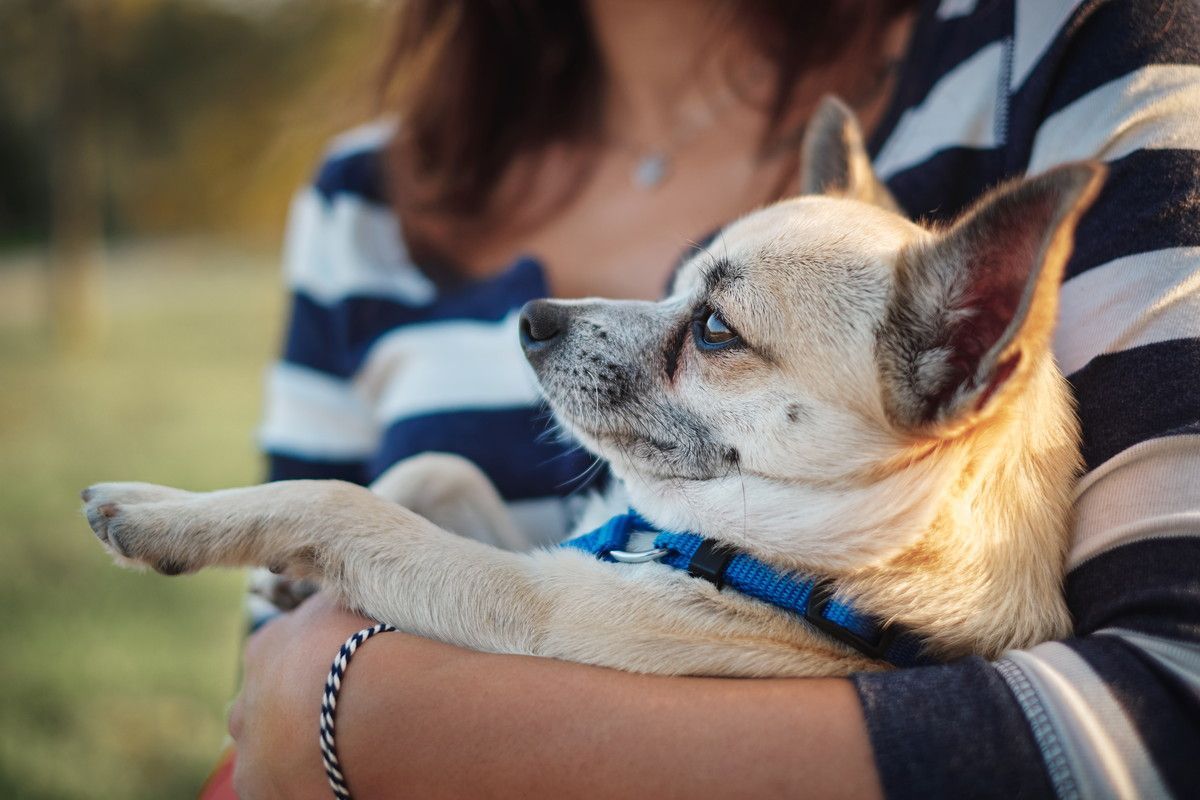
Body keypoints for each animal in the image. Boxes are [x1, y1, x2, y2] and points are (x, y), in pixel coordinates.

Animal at [79, 98, 1099, 676]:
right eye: (672, 284)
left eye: (715, 330)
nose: (532, 317)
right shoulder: (529, 552)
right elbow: (434, 472)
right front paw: (285, 580)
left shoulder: (522, 602)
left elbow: (339, 502)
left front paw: (165, 514)